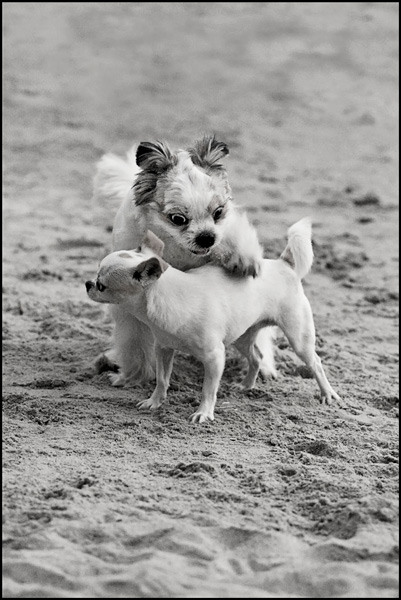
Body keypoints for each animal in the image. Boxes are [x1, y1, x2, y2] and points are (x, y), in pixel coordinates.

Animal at [85, 219, 340, 422]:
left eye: (102, 286)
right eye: (96, 279)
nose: (88, 284)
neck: (166, 296)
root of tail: (283, 264)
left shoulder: (214, 357)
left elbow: (208, 390)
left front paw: (203, 413)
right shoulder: (164, 349)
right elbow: (162, 379)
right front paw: (155, 402)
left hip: (298, 338)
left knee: (316, 363)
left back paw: (328, 394)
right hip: (241, 337)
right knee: (257, 357)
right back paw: (246, 386)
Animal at [93, 134, 278, 386]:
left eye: (218, 213)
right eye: (178, 219)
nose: (206, 237)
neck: (179, 252)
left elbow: (233, 235)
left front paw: (243, 259)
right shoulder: (131, 313)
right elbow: (136, 345)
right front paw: (135, 376)